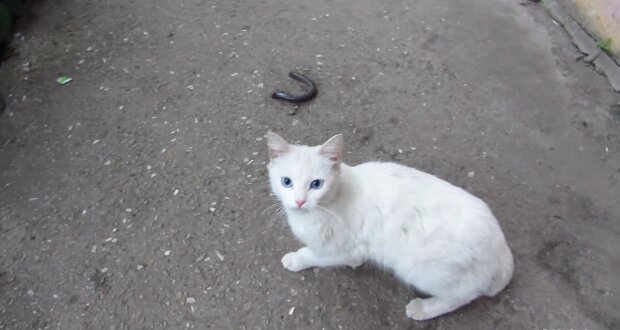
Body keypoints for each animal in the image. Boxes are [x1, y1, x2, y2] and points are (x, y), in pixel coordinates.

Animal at [266, 131, 512, 320]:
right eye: (286, 182)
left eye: (316, 184)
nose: (299, 201)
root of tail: (502, 249)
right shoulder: (354, 250)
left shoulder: (342, 248)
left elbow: (310, 254)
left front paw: (295, 260)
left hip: (423, 270)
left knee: (462, 296)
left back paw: (424, 309)